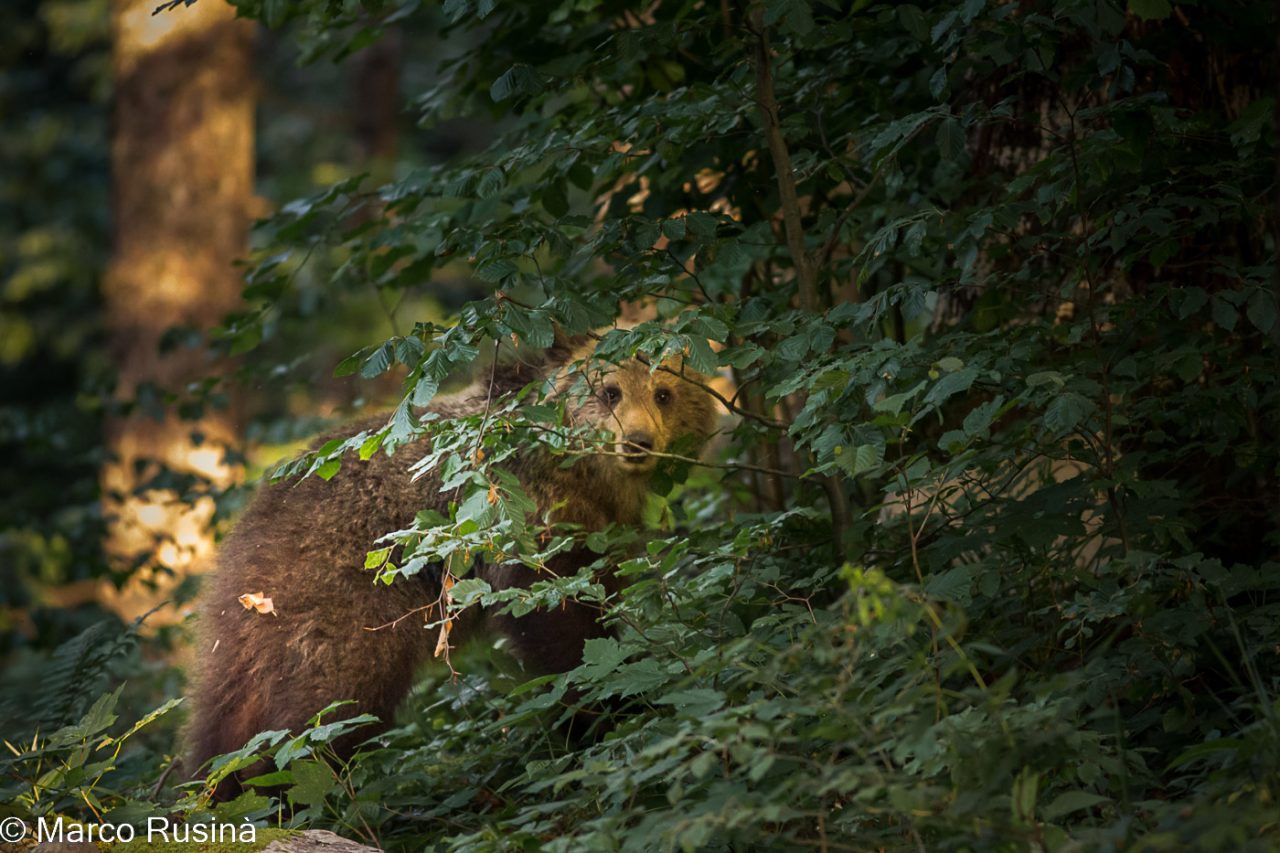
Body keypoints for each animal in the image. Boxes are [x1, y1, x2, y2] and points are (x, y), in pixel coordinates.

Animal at [184, 333, 716, 788]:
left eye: (664, 393)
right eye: (610, 391)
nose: (638, 441)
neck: (587, 476)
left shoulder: (601, 533)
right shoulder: (523, 521)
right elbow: (557, 623)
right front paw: (605, 708)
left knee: (229, 724)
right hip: (340, 602)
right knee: (323, 712)